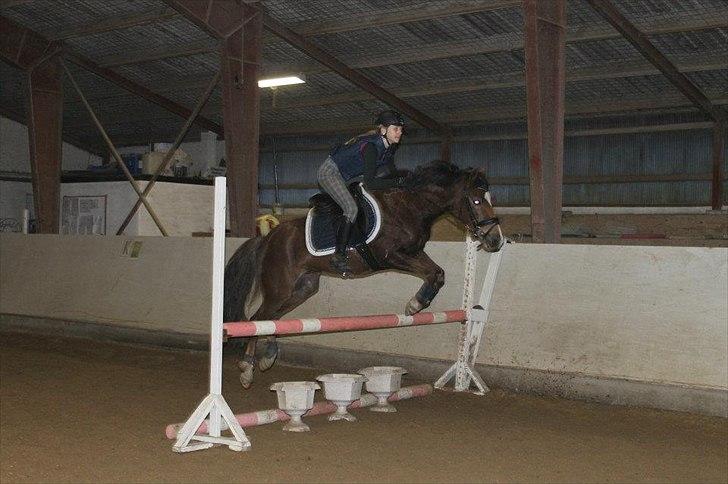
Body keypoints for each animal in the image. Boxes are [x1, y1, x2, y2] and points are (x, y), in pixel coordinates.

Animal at [225, 161, 504, 388]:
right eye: (477, 201)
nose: (496, 240)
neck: (410, 206)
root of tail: (269, 237)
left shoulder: (414, 252)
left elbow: (437, 273)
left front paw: (417, 304)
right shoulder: (390, 256)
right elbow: (431, 273)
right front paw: (414, 305)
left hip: (303, 288)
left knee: (272, 318)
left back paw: (268, 356)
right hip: (280, 286)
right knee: (258, 317)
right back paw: (247, 368)